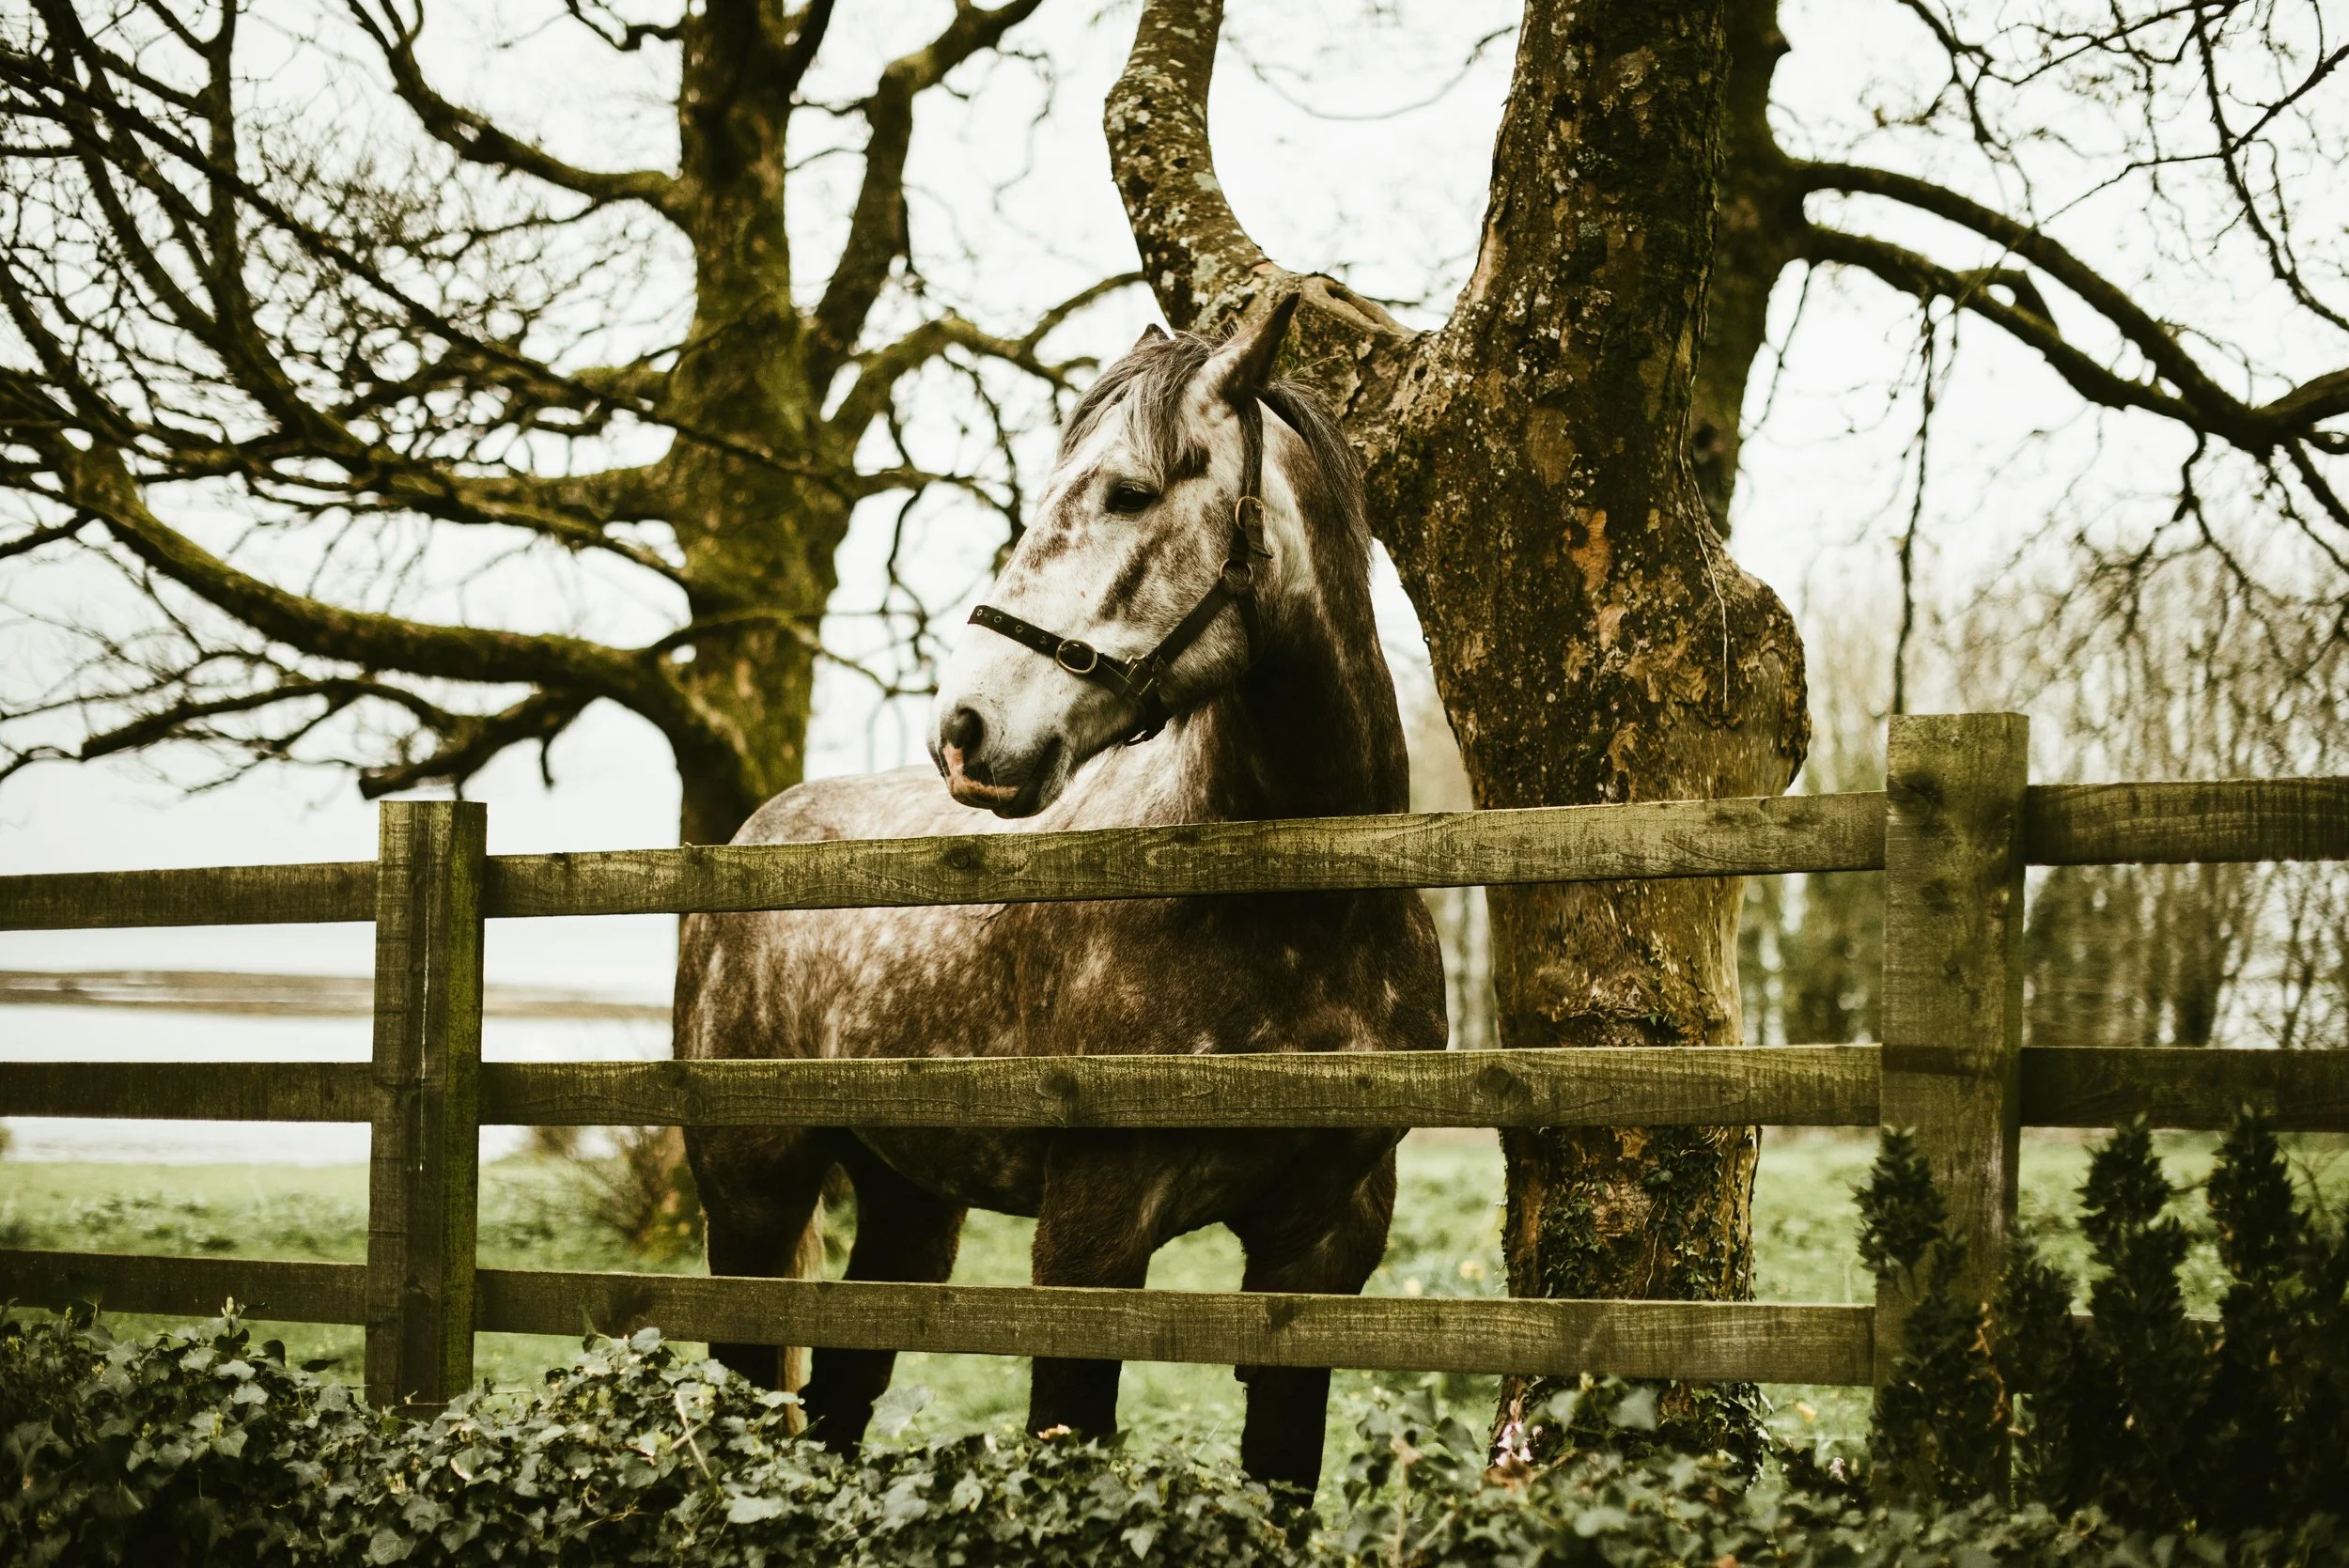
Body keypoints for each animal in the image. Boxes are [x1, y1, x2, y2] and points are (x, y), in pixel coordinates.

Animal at [674, 296, 1447, 1495]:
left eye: (1127, 491)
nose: (965, 730)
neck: (1300, 912)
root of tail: (756, 832)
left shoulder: (1324, 1245)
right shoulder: (1093, 1231)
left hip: (906, 1203)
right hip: (753, 1189)